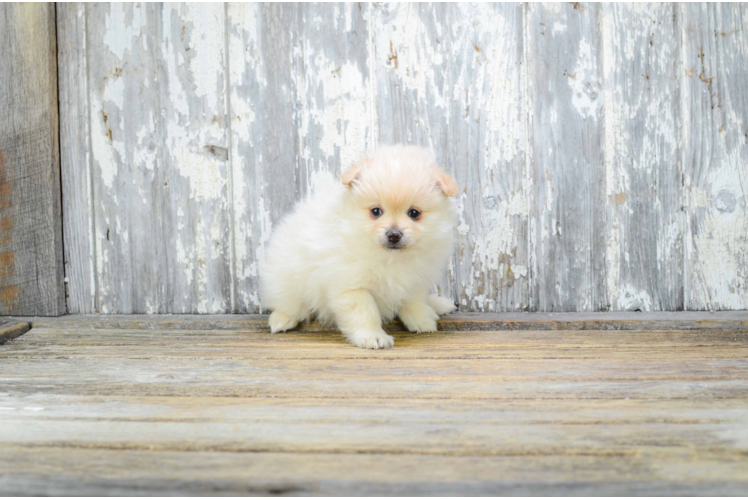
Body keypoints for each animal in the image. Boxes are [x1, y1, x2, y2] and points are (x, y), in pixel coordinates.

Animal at [260, 144, 458, 348]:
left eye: (414, 213)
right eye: (376, 211)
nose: (394, 234)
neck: (389, 258)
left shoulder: (415, 279)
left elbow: (414, 300)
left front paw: (421, 320)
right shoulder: (351, 285)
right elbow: (365, 312)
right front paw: (373, 336)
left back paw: (437, 305)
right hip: (286, 281)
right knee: (287, 304)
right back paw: (281, 319)